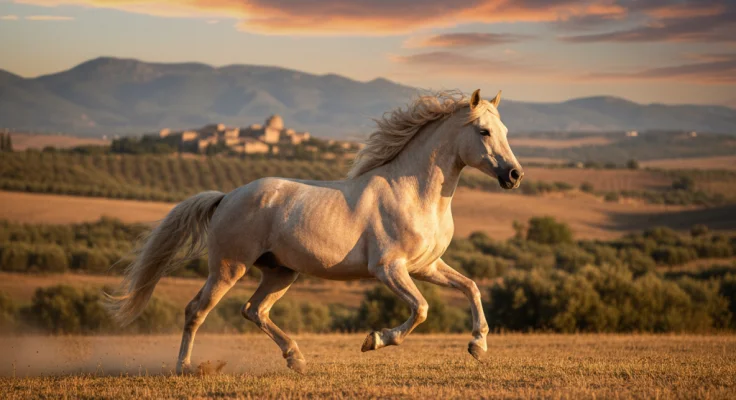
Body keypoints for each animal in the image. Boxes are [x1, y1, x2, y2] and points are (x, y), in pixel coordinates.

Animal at [105, 89, 524, 374]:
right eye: (484, 131)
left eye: (505, 129)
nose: (514, 175)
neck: (413, 193)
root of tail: (227, 197)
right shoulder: (389, 269)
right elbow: (421, 309)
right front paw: (373, 341)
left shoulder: (426, 266)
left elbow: (471, 287)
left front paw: (478, 346)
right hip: (228, 267)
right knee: (197, 310)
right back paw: (185, 368)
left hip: (280, 272)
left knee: (253, 310)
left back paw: (297, 359)